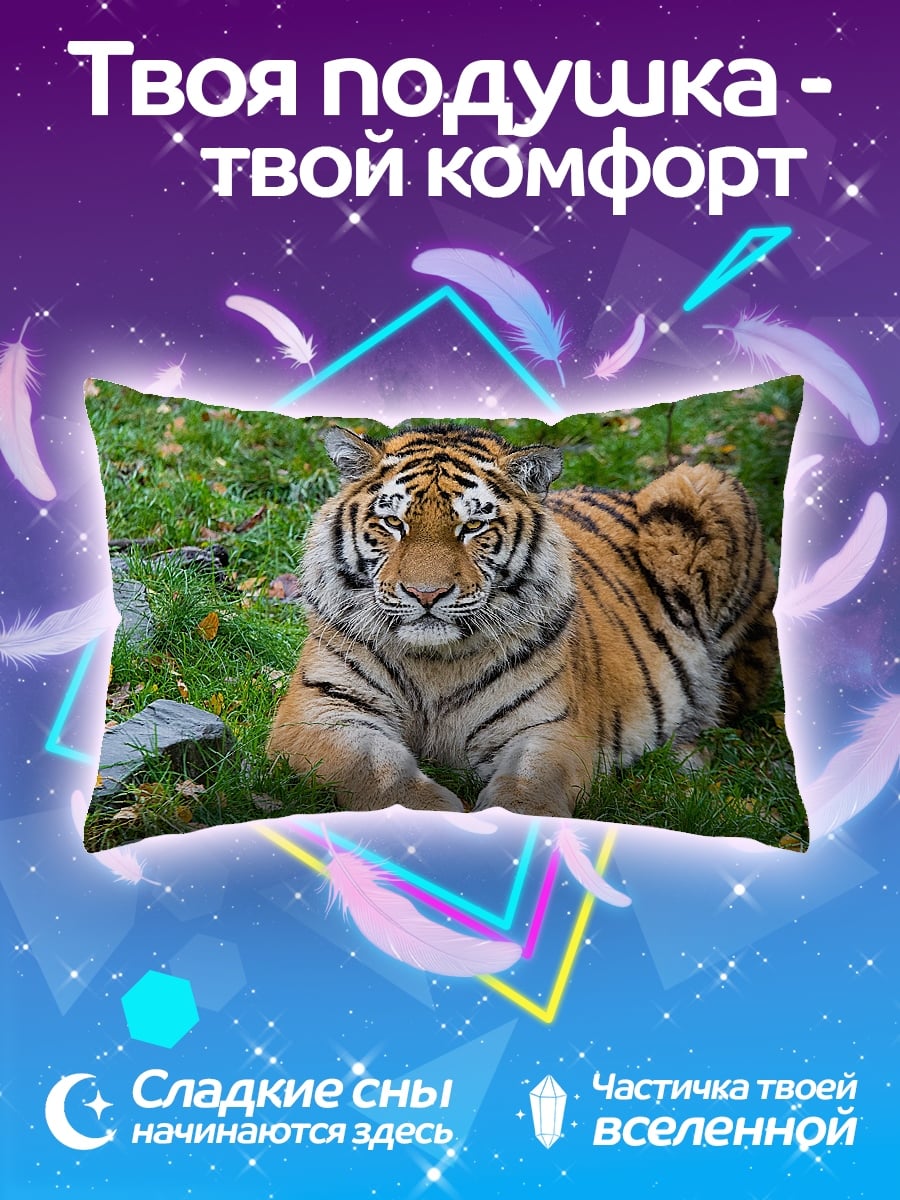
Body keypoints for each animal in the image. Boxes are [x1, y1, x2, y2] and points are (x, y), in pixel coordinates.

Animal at [266, 422, 778, 818]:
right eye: (394, 523)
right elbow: (375, 771)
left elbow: (529, 792)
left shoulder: (550, 729)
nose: (426, 594)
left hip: (705, 485)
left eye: (472, 527)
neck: (434, 664)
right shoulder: (317, 714)